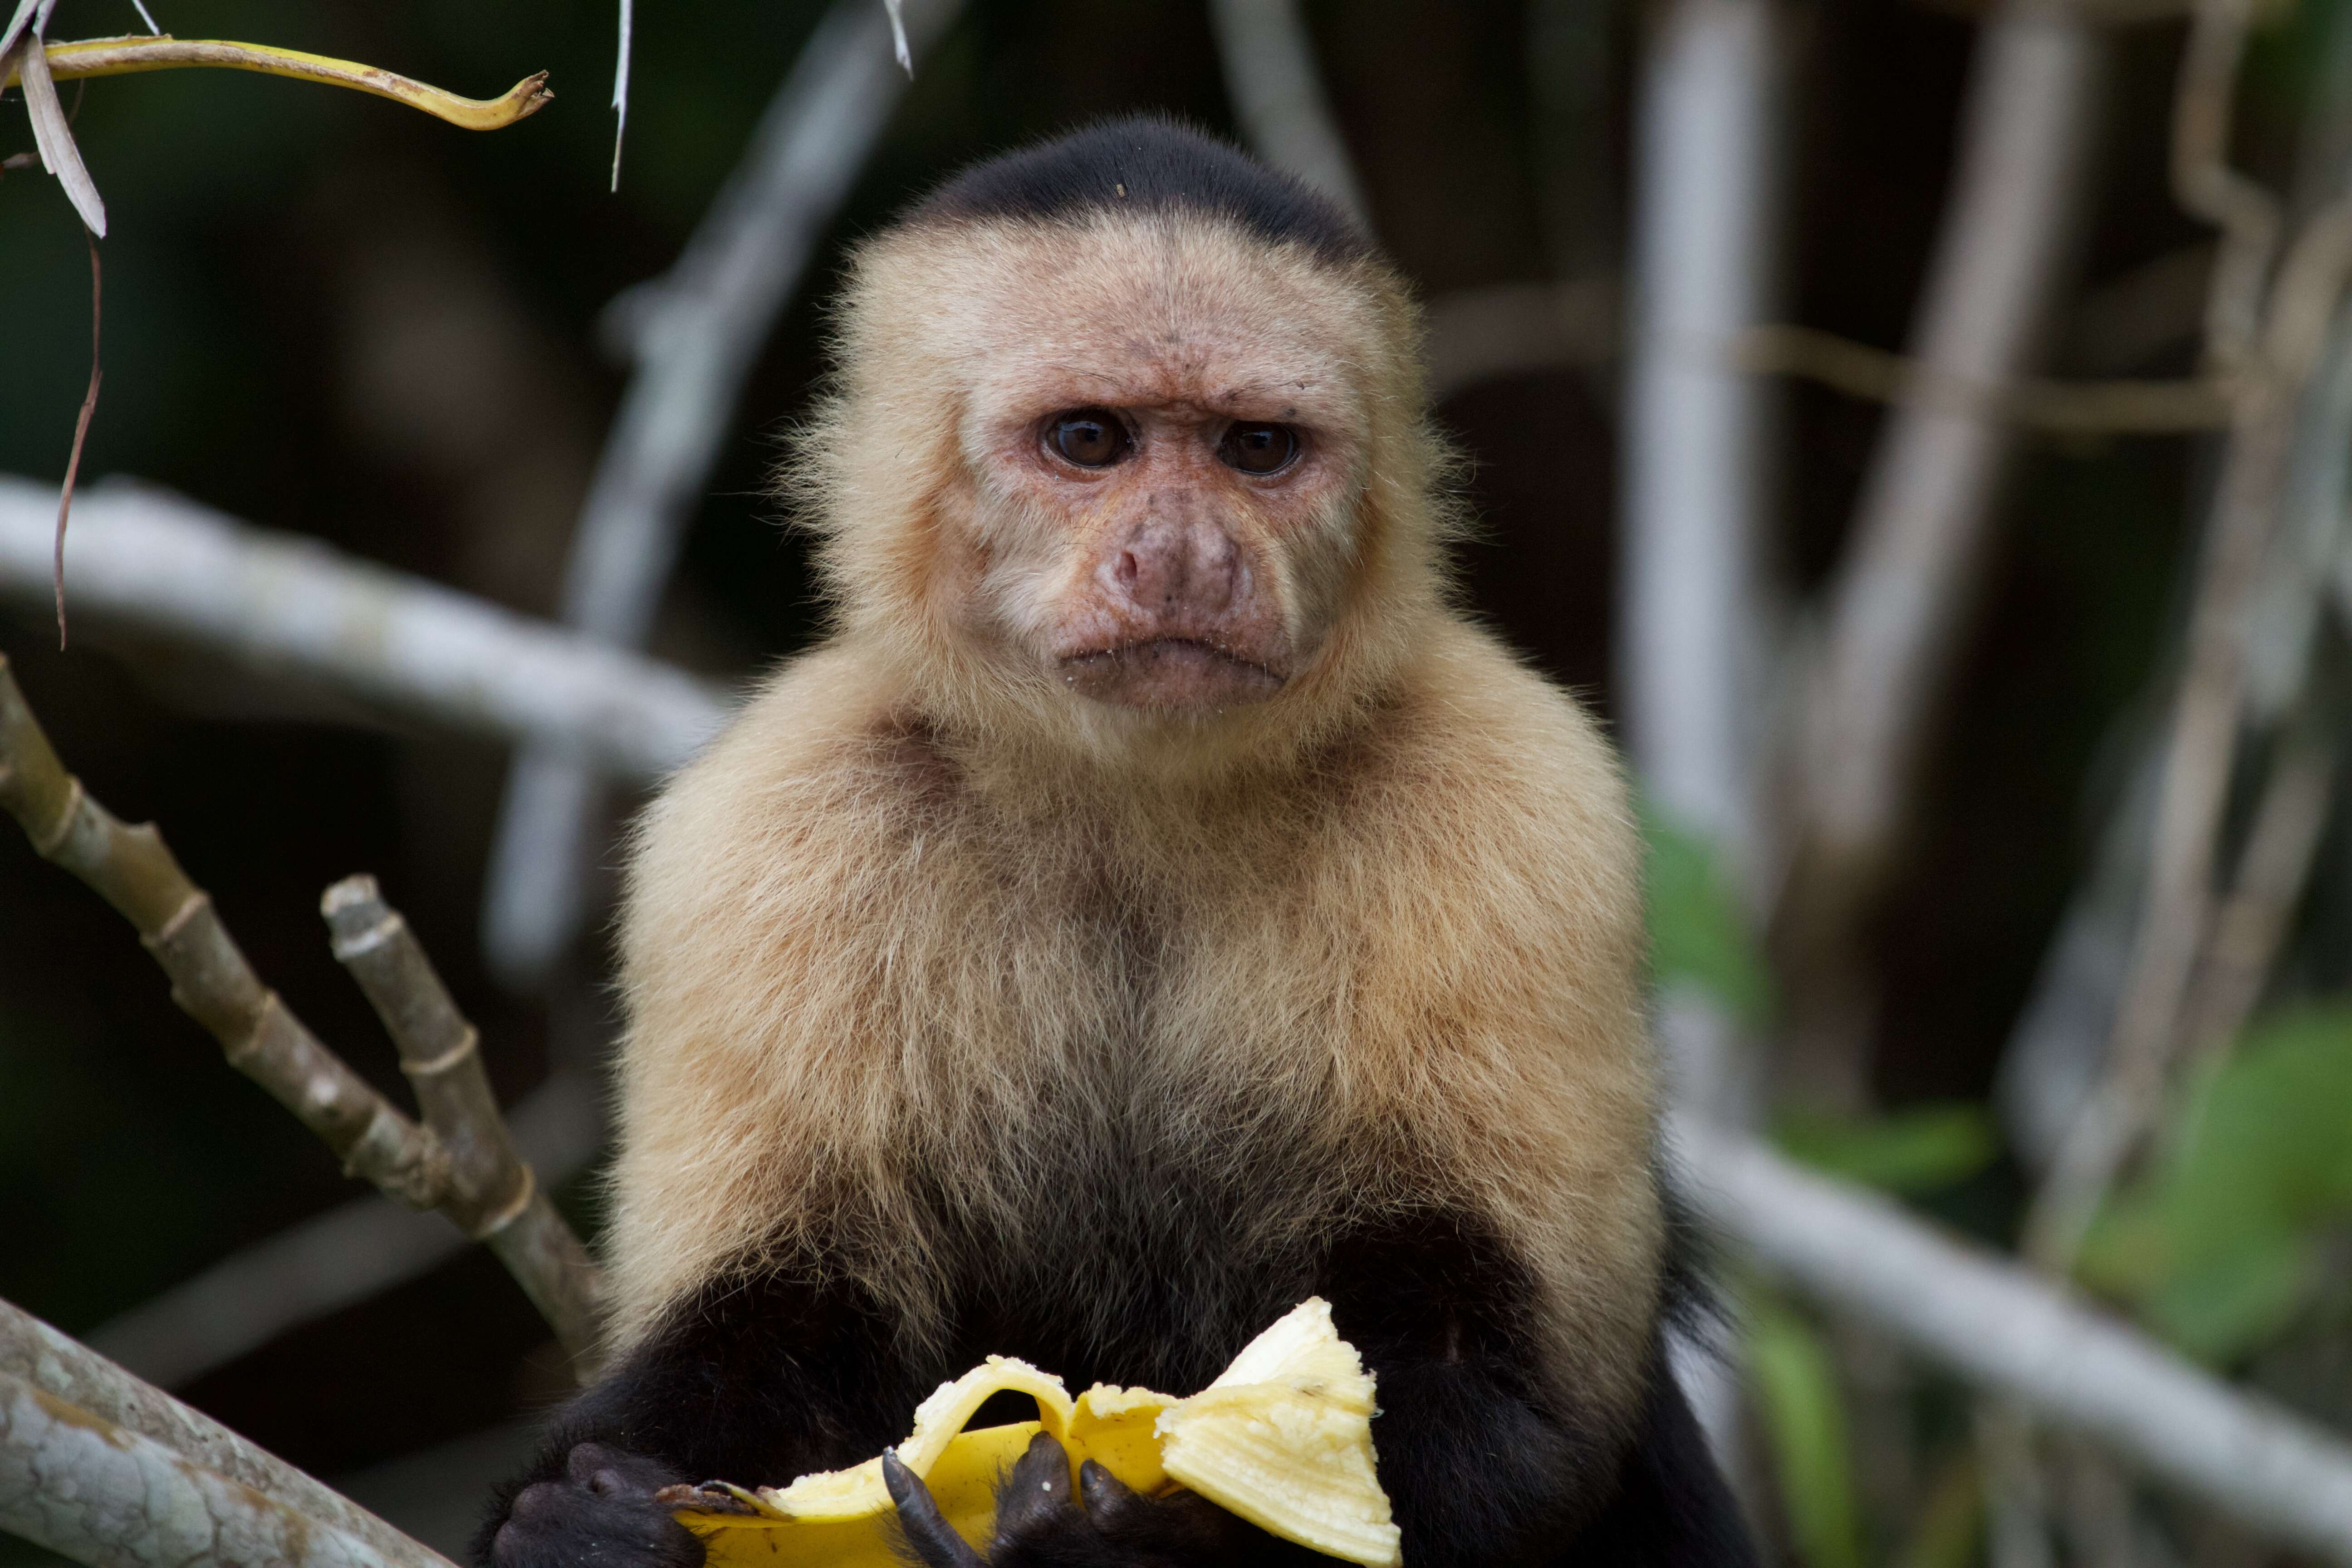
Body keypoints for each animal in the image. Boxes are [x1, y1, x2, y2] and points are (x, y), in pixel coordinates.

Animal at [477, 116, 1759, 1561]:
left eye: (1257, 447)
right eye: (1088, 439)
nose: (1185, 554)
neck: (1139, 805)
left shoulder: (1531, 807)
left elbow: (1514, 1403)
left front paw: (1115, 1547)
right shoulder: (755, 837)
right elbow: (775, 1316)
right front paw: (580, 1524)